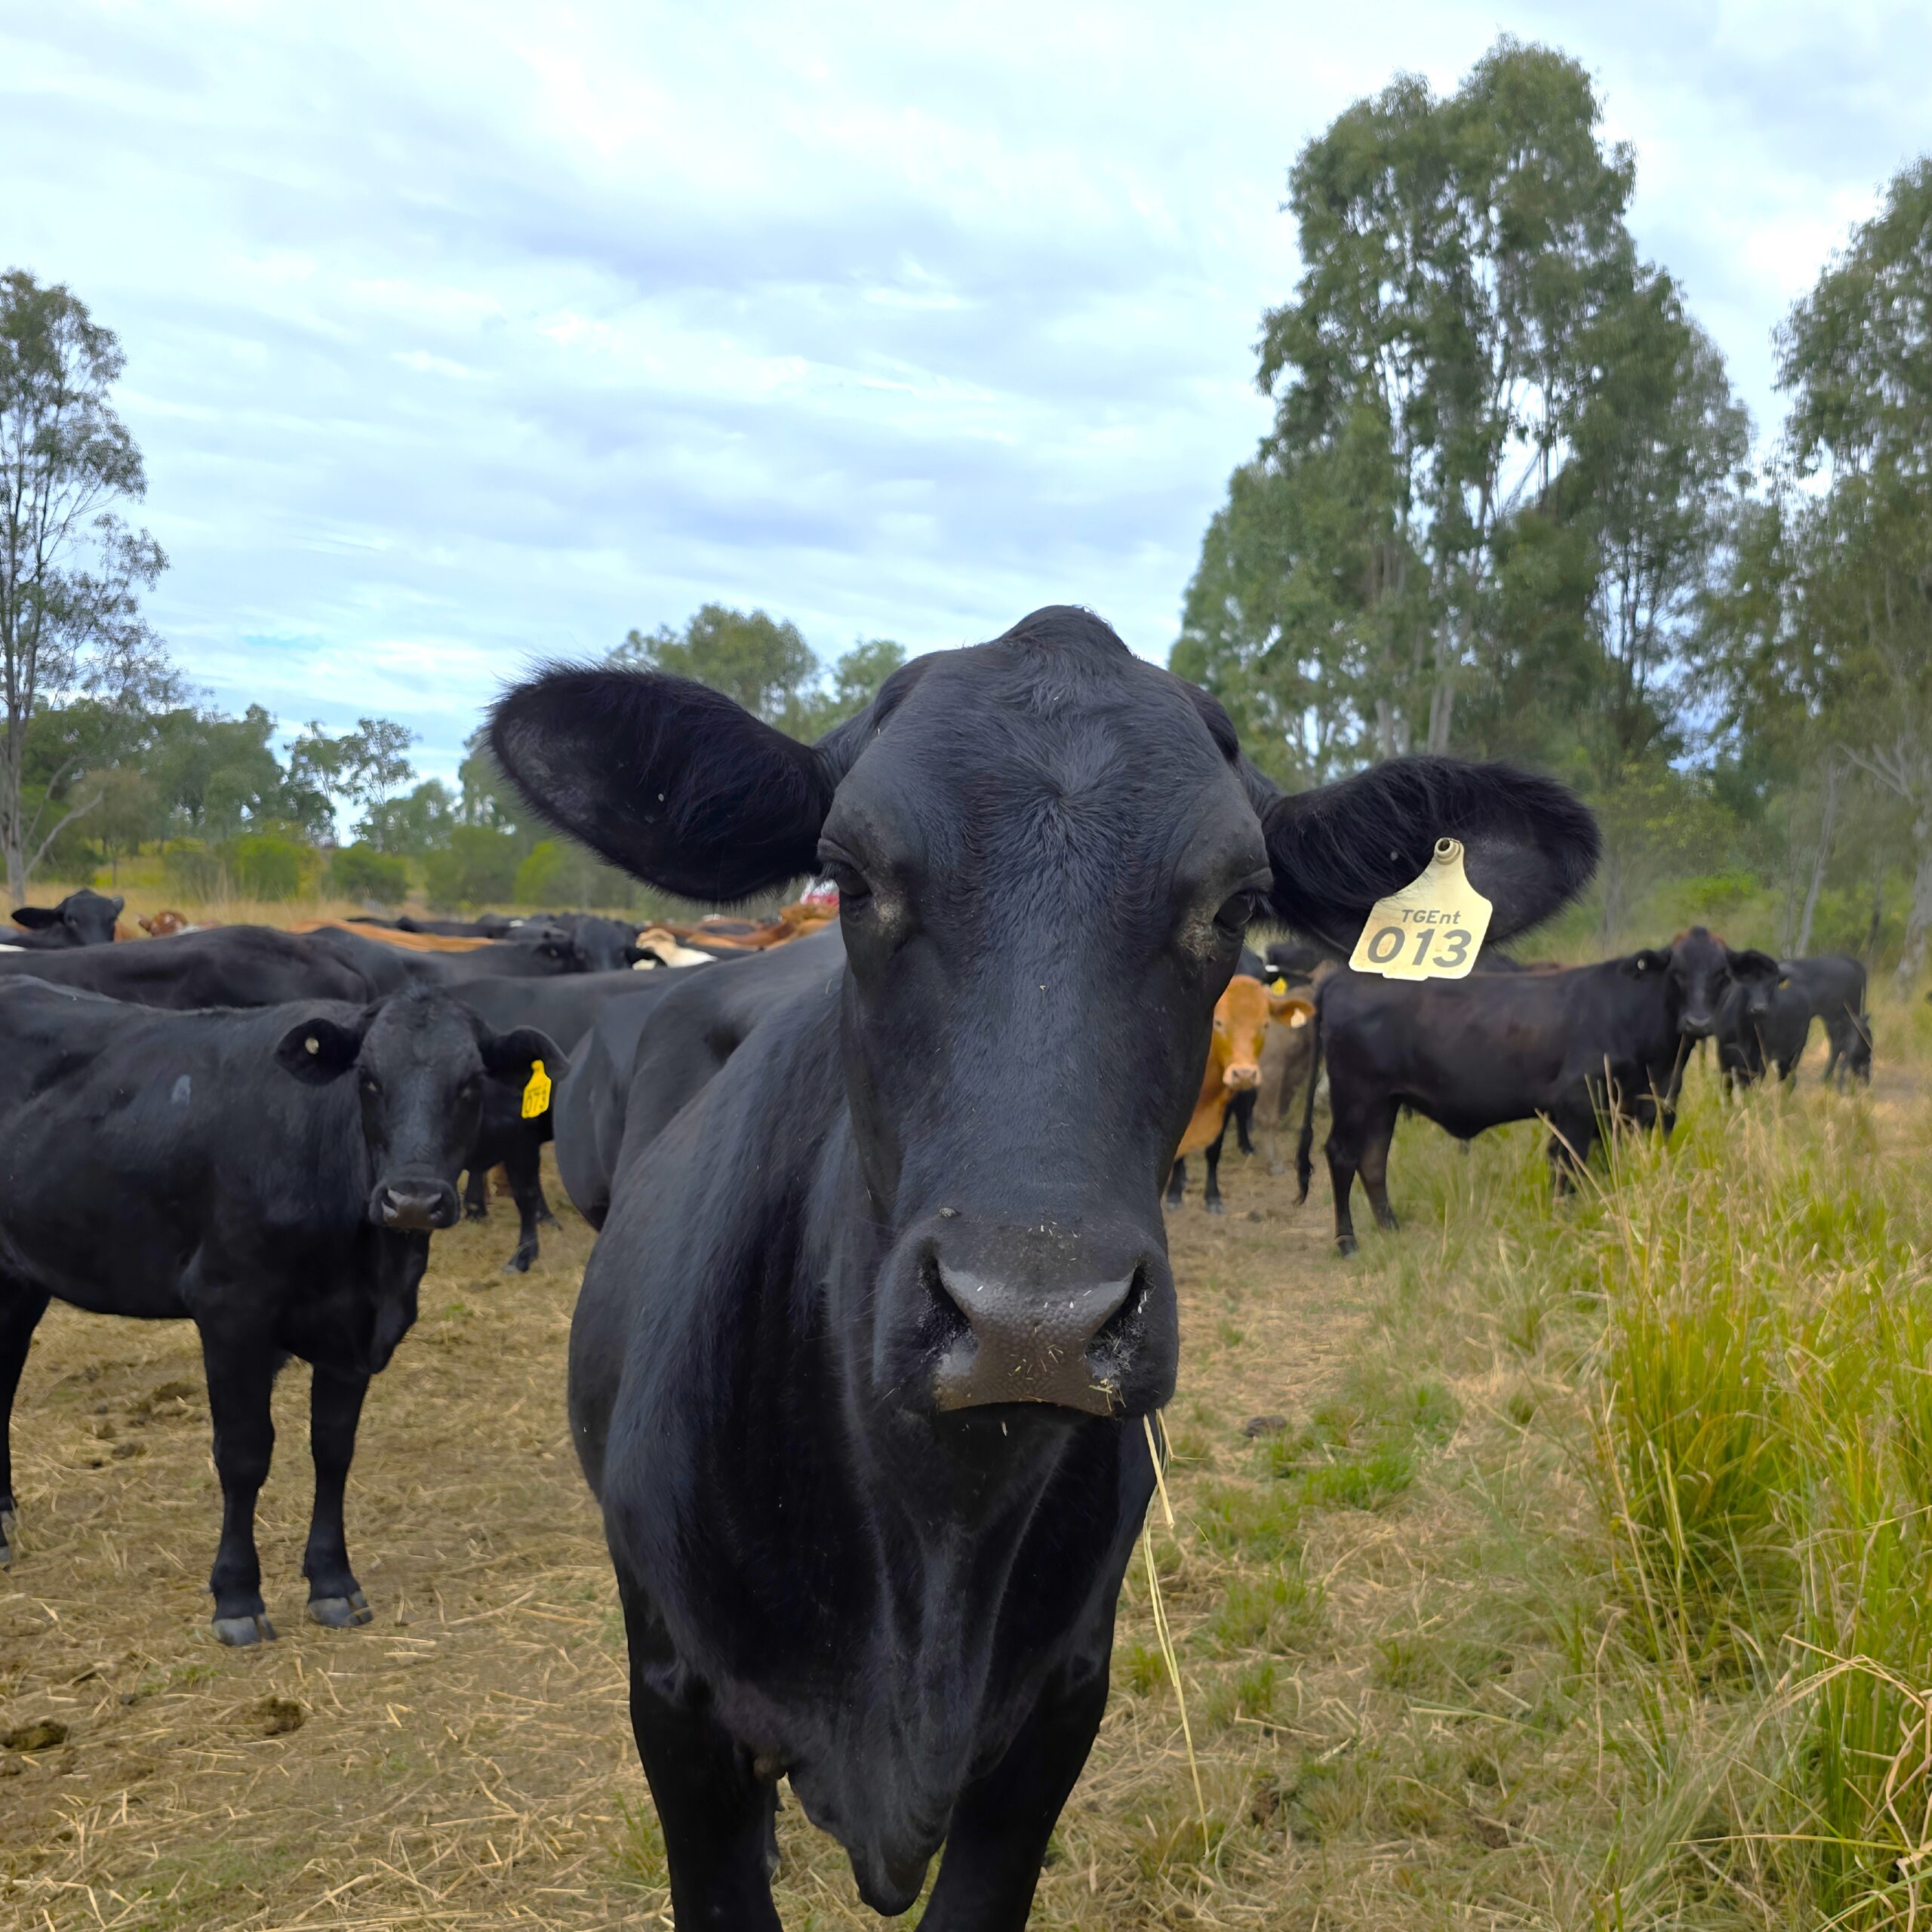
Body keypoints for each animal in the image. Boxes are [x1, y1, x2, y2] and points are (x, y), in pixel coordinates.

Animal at [0, 978, 557, 1642]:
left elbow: (333, 1449)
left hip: (19, 1279)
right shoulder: (230, 1309)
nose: (413, 1199)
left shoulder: (354, 1332)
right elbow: (244, 1453)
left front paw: (334, 1582)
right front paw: (237, 1596)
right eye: (368, 1078)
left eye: (470, 1082)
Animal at [1165, 975, 1313, 1211]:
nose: (1244, 1073)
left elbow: (1214, 1149)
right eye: (1218, 1022)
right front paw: (1174, 1195)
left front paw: (1213, 1197)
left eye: (1264, 1024)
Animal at [1299, 926, 1778, 1253]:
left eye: (1722, 974)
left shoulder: (1631, 1114)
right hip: (1355, 1097)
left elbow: (1605, 1170)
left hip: (1384, 1103)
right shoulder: (1576, 1109)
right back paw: (1347, 1241)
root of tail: (1343, 978)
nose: (1697, 1023)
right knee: (1342, 1155)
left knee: (1373, 1160)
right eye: (1675, 973)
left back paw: (1390, 1227)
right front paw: (1566, 1225)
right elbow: (1568, 1170)